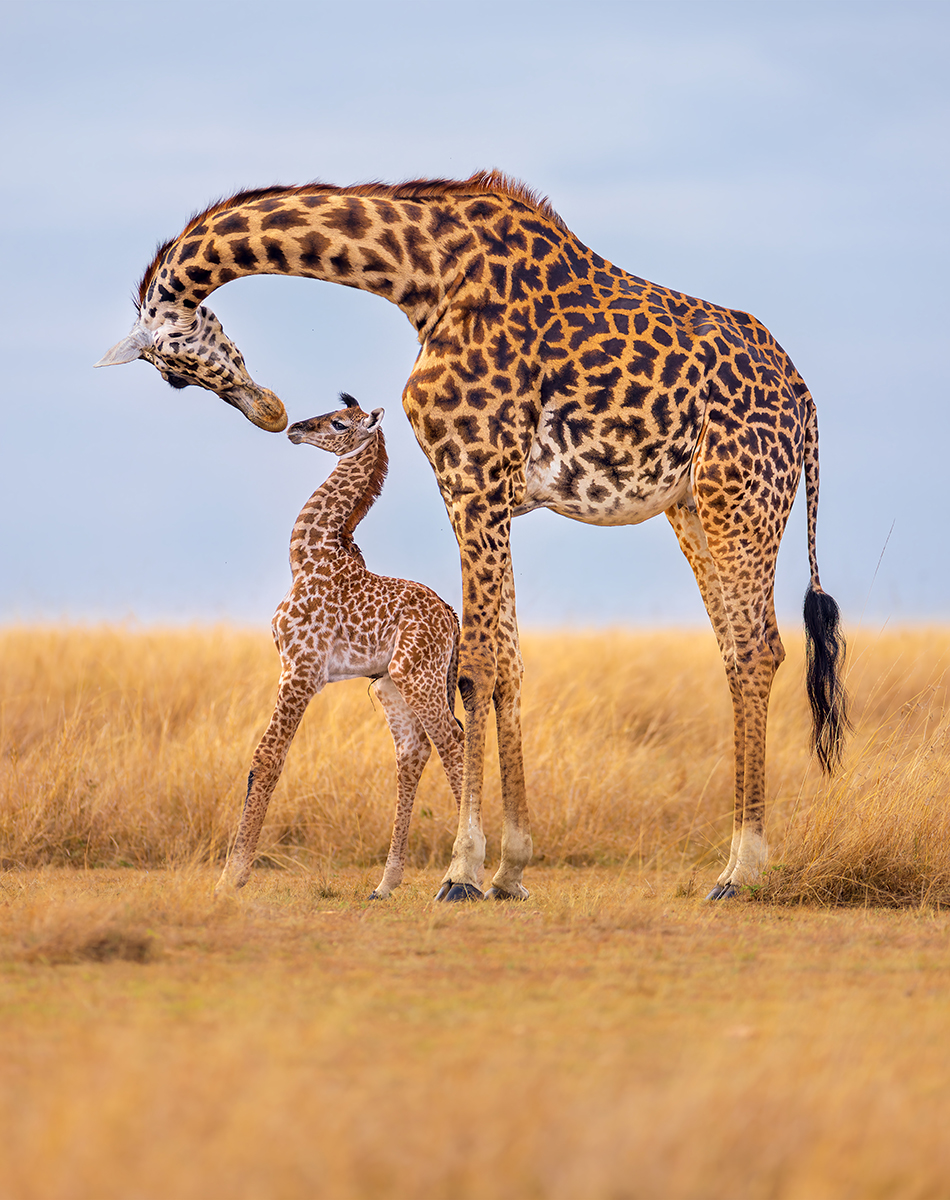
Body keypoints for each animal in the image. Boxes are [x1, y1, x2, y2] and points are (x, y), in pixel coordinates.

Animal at [215, 394, 464, 899]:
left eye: (338, 422)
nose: (295, 428)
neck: (308, 558)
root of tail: (450, 616)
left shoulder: (300, 668)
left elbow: (267, 758)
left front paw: (232, 876)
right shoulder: (302, 670)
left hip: (419, 675)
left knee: (453, 740)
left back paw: (462, 877)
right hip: (391, 683)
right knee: (413, 752)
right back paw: (386, 884)